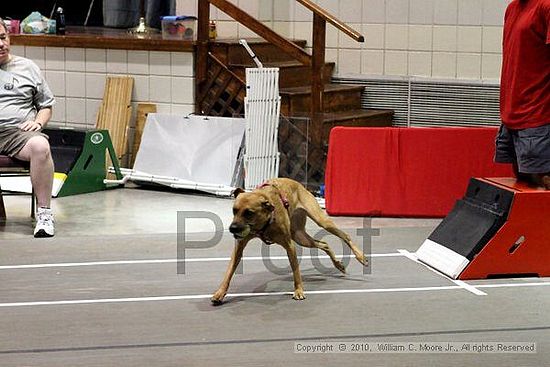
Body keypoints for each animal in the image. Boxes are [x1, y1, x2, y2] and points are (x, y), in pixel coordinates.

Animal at [212, 178, 370, 304]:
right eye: (234, 210)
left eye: (249, 213)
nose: (232, 228)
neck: (264, 221)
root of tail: (300, 185)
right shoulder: (239, 248)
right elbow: (229, 271)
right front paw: (220, 292)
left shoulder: (290, 245)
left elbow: (296, 271)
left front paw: (299, 290)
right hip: (300, 237)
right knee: (324, 244)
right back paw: (338, 265)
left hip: (321, 222)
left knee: (345, 236)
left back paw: (360, 257)